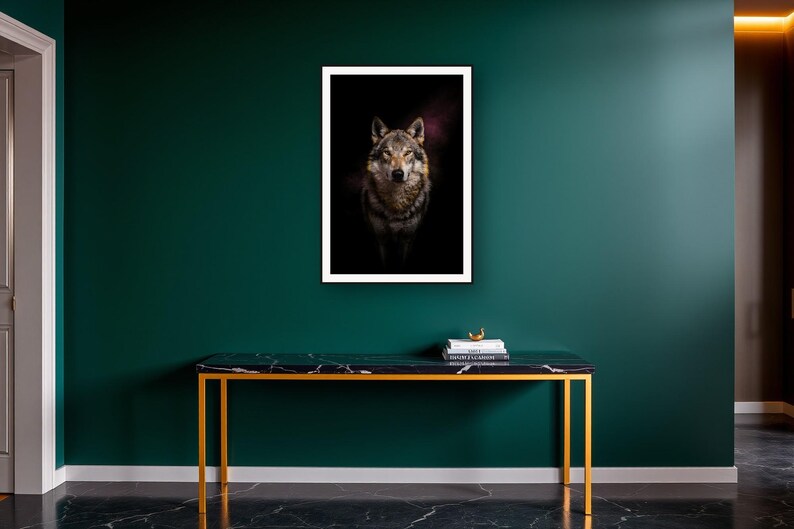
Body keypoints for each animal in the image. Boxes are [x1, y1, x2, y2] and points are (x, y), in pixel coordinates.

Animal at [362, 116, 431, 271]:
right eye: (387, 153)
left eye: (408, 153)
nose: (398, 174)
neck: (396, 203)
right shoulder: (381, 239)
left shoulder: (407, 239)